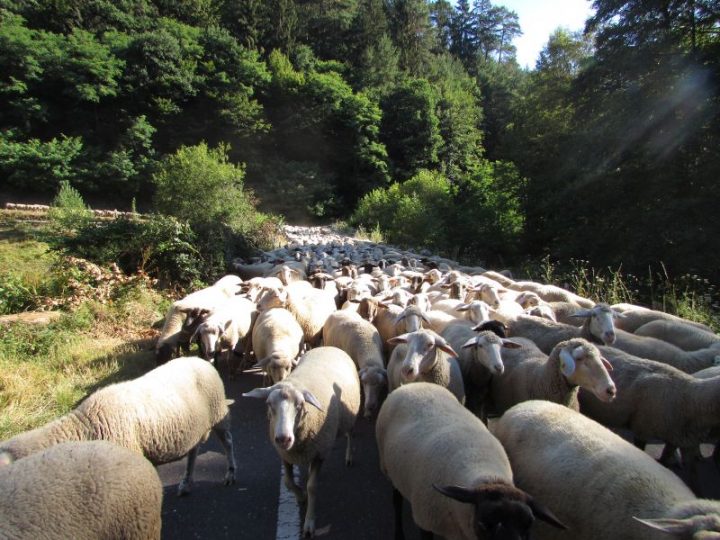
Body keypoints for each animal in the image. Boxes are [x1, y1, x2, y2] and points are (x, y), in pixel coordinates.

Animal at [0, 356, 236, 496]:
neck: (84, 428)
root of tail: (200, 359)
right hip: (195, 424)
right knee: (194, 450)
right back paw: (186, 482)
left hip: (218, 414)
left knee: (228, 442)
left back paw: (230, 474)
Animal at [245, 346, 362, 536]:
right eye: (269, 404)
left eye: (300, 405)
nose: (283, 438)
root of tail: (329, 347)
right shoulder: (285, 455)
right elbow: (287, 482)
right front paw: (300, 496)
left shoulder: (320, 452)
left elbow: (312, 487)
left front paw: (309, 522)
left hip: (350, 415)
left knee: (350, 434)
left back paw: (349, 456)